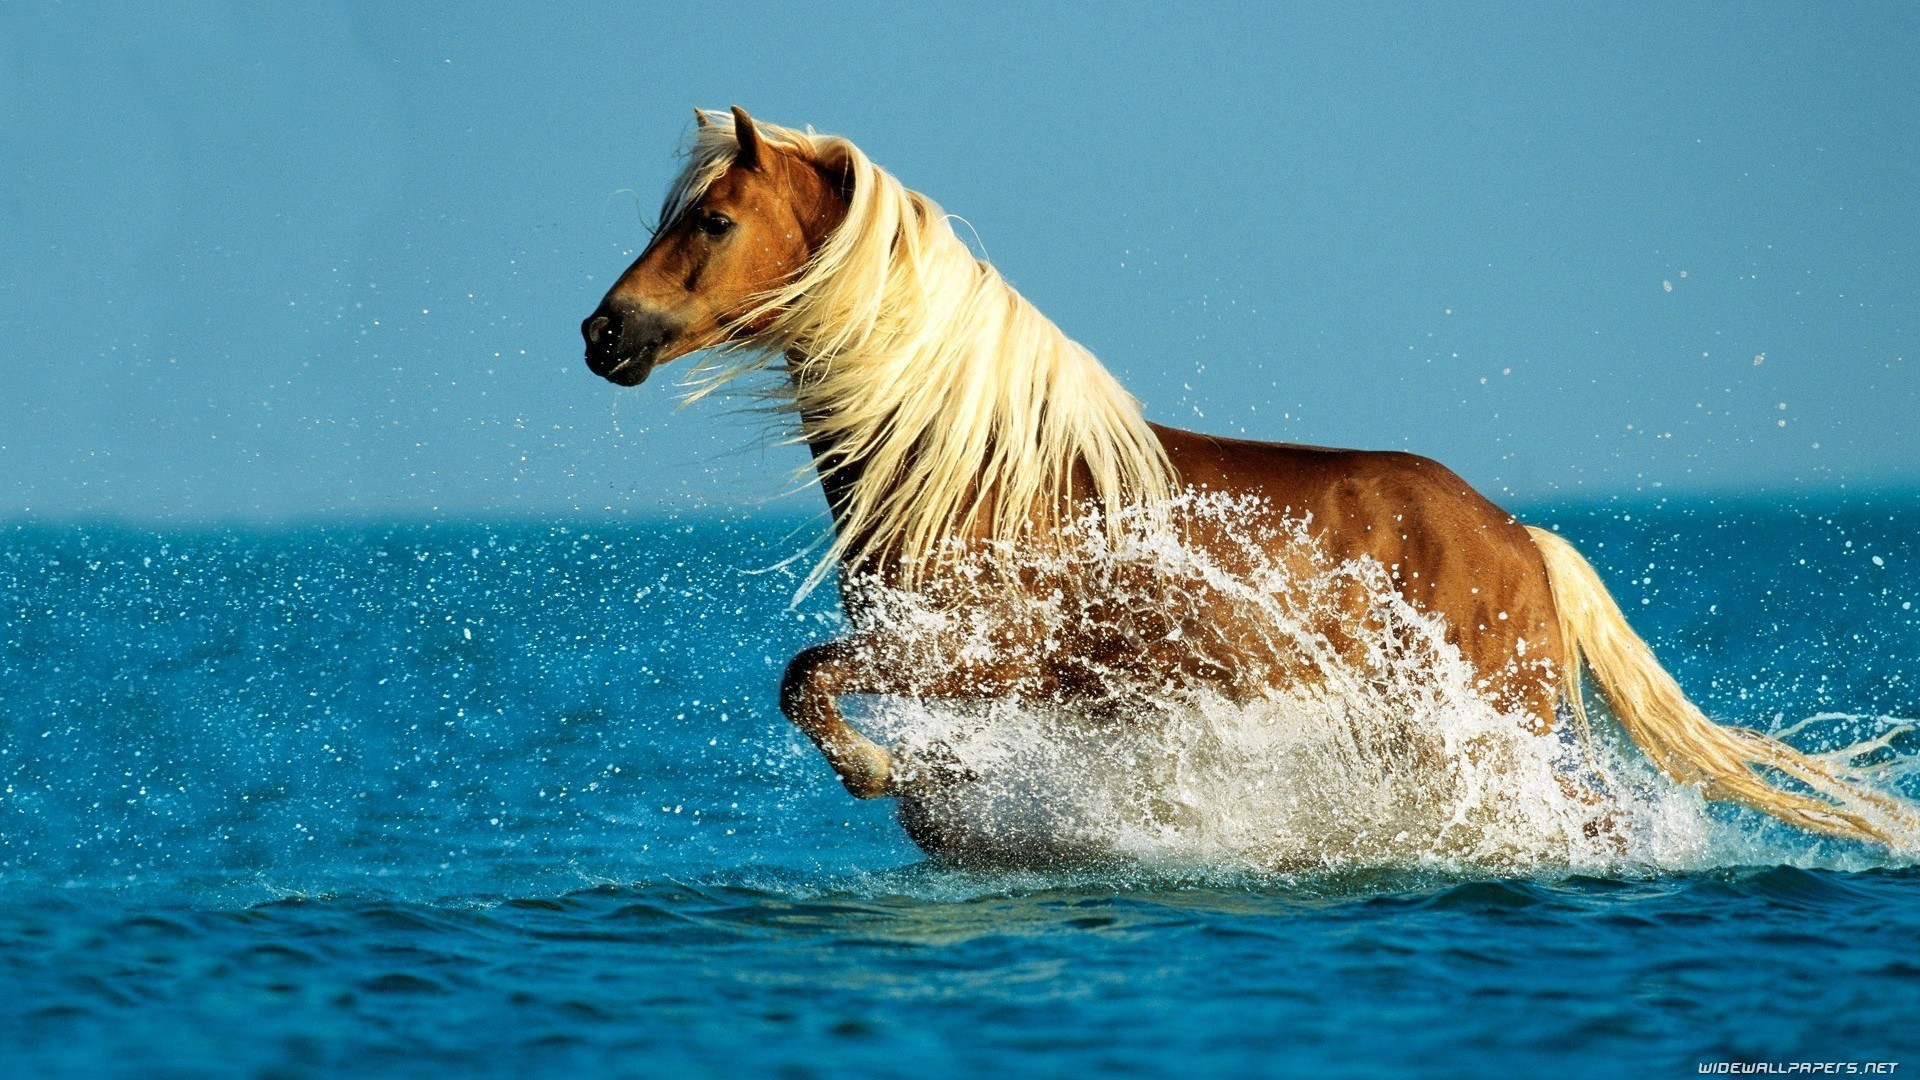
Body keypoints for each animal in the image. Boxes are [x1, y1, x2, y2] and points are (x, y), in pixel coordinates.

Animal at [583, 105, 1920, 853]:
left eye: (711, 221)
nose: (605, 335)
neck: (977, 471)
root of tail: (1523, 539)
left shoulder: (974, 654)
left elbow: (805, 681)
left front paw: (876, 774)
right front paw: (931, 803)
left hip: (1488, 732)